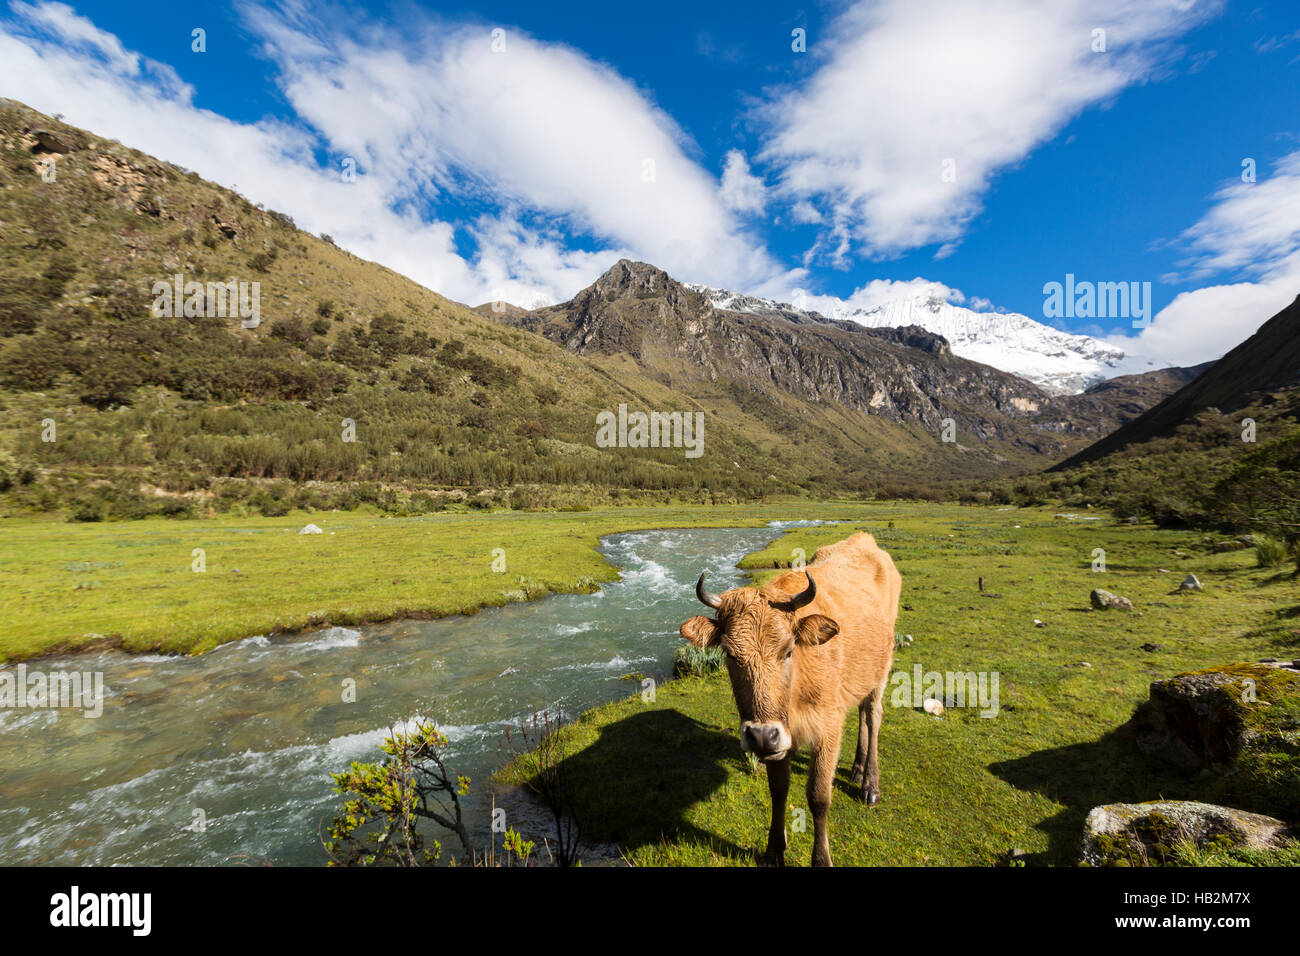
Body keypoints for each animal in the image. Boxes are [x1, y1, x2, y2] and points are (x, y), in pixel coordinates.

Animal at [681, 530, 904, 868]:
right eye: (730, 654)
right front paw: (774, 850)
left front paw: (821, 859)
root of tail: (864, 540)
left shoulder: (827, 730)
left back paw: (870, 783)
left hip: (881, 669)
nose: (760, 735)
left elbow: (819, 797)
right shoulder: (779, 742)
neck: (795, 696)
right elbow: (778, 790)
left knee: (872, 714)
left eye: (788, 650)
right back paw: (856, 767)